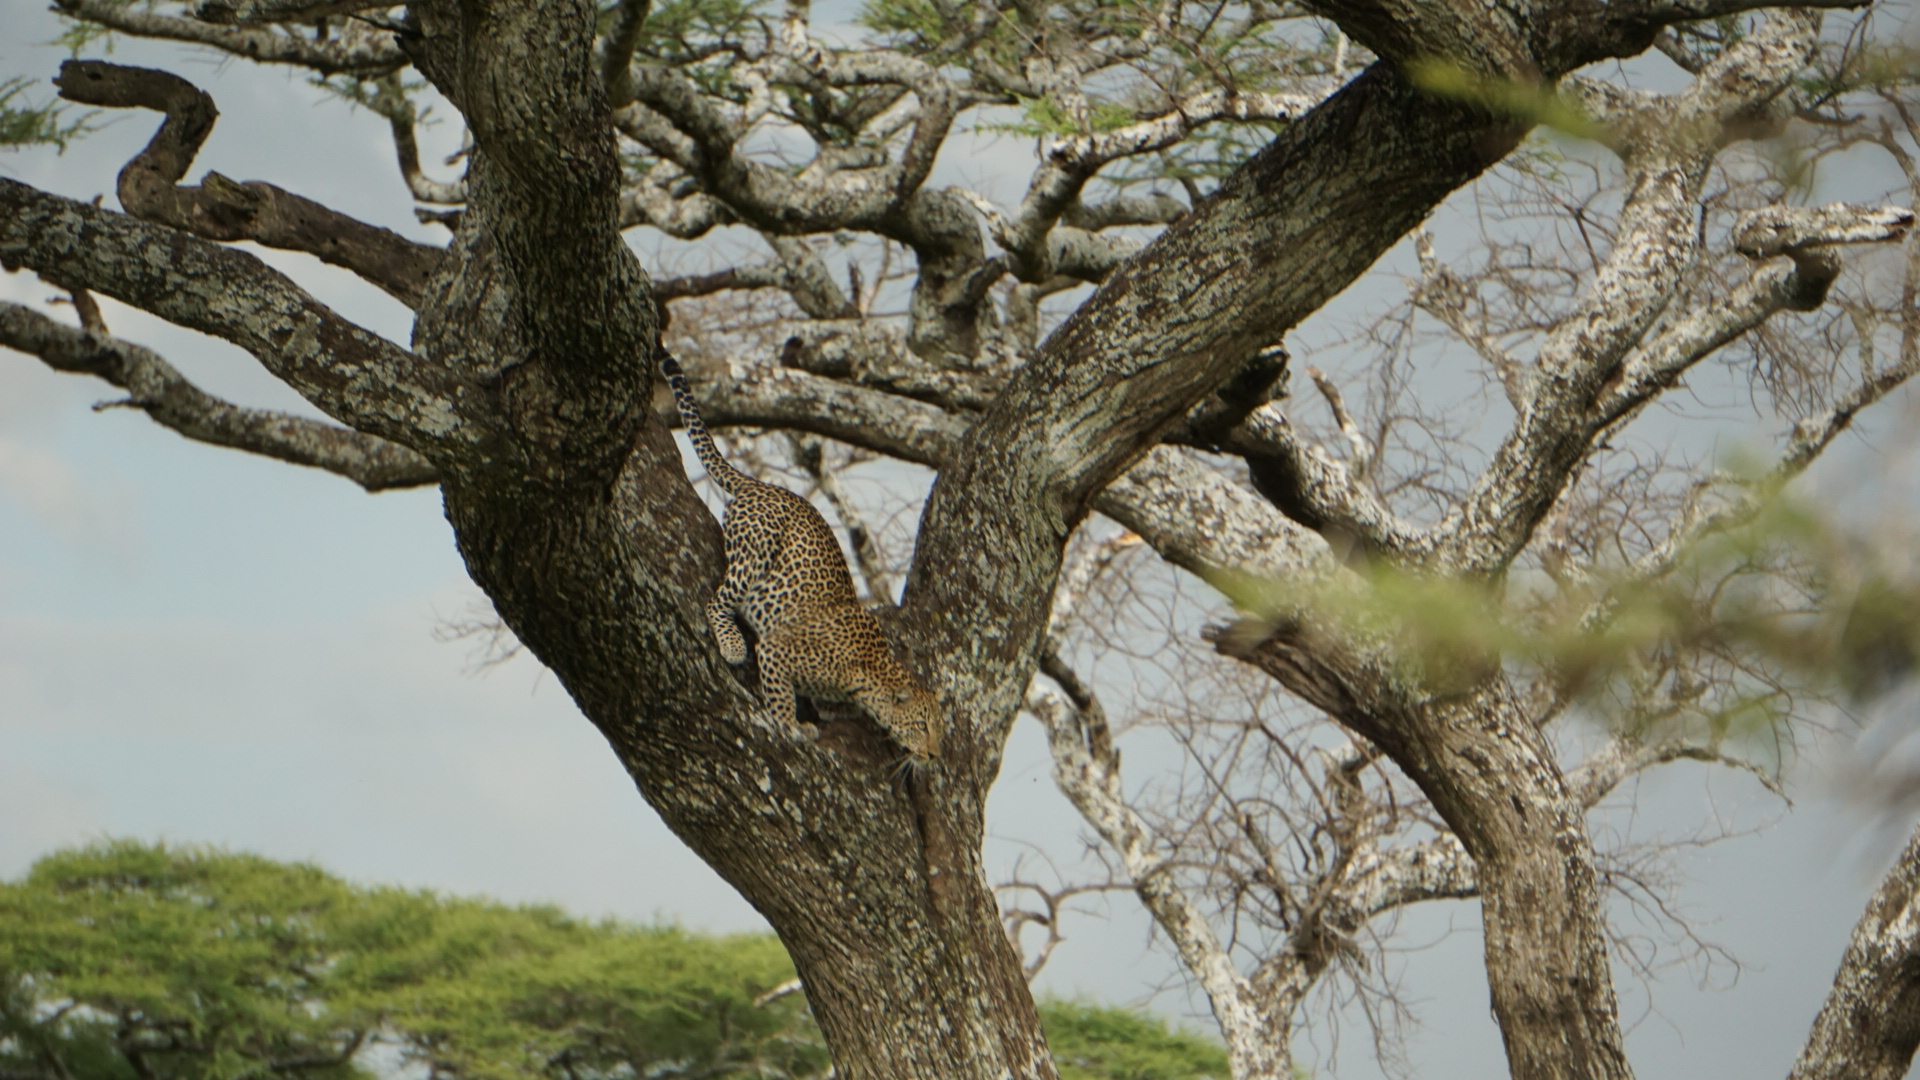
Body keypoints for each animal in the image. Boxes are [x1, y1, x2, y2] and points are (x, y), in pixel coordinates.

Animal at [660, 349, 944, 760]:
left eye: (939, 728)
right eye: (922, 725)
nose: (936, 754)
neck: (871, 672)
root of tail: (762, 485)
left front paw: (826, 709)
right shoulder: (778, 648)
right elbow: (781, 697)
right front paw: (791, 726)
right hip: (756, 548)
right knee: (717, 601)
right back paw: (732, 645)